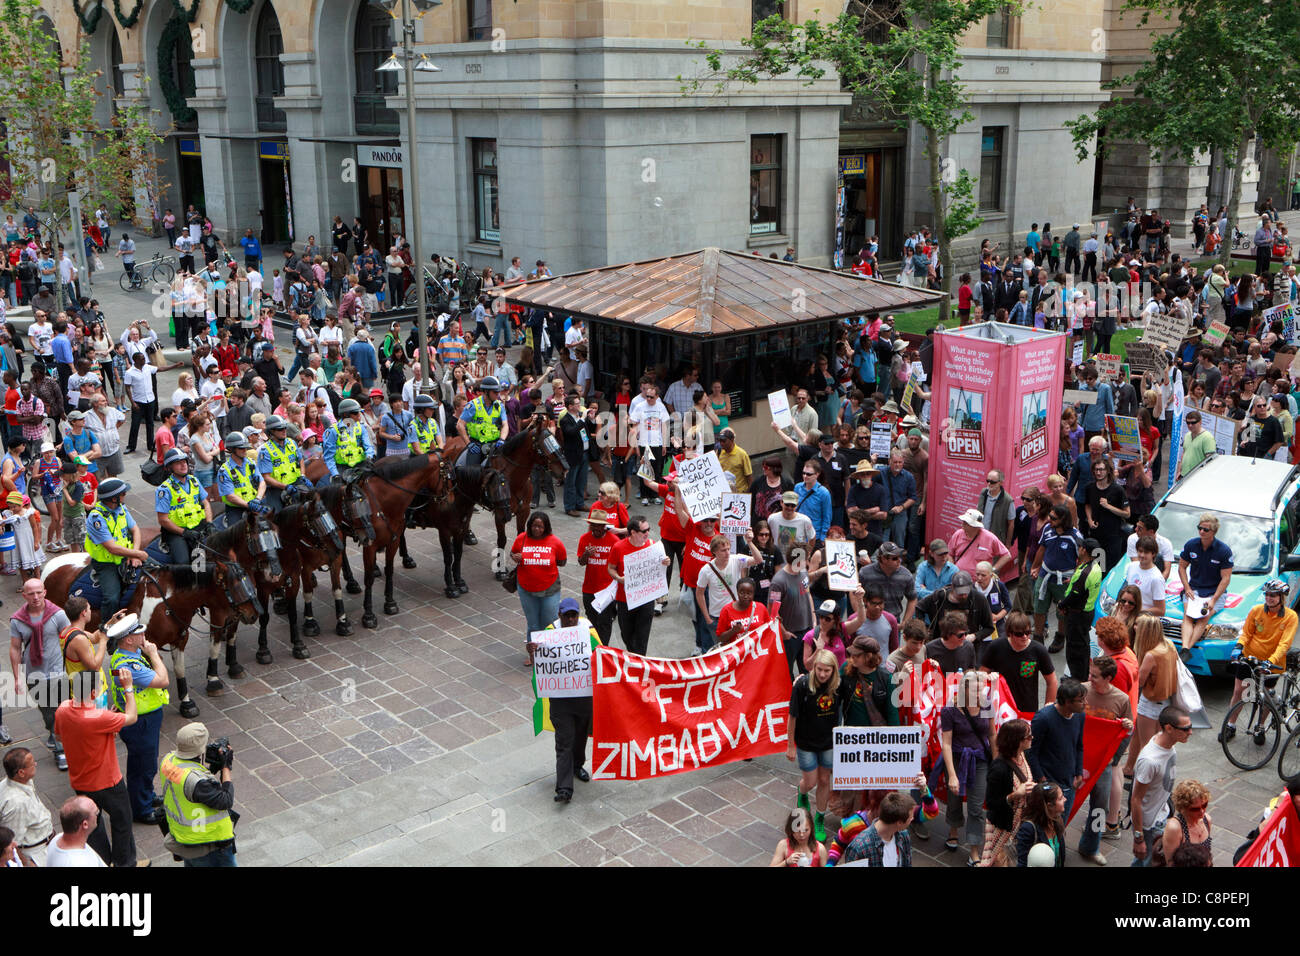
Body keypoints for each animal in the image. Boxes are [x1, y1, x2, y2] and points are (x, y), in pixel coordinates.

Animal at [40, 538, 260, 717]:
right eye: (236, 586)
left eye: (249, 579)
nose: (255, 614)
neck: (167, 600)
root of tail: (48, 568)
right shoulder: (145, 644)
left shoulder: (180, 639)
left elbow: (179, 669)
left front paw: (186, 703)